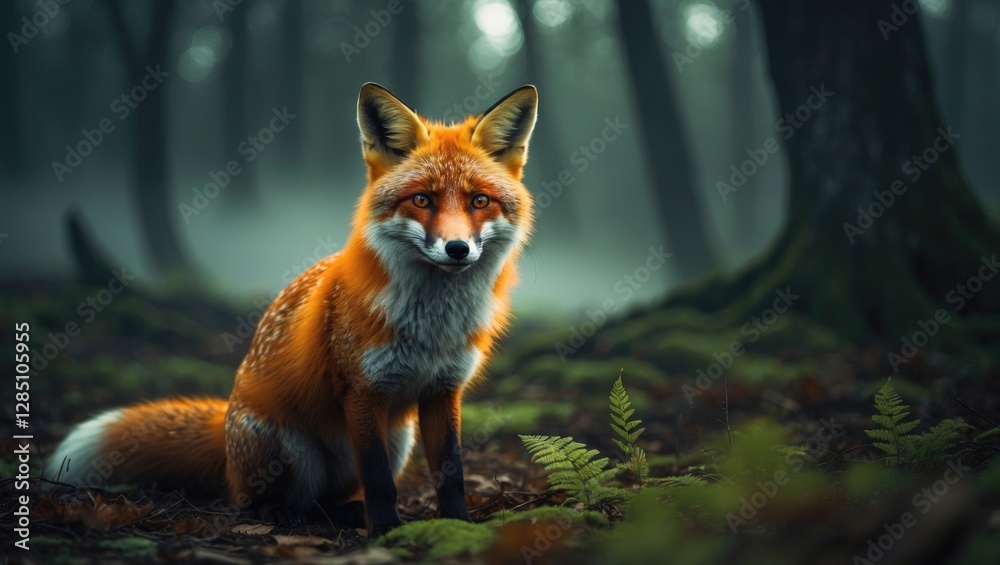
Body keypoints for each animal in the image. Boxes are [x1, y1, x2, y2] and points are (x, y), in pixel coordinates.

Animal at [44, 82, 538, 537]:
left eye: (479, 201)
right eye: (422, 199)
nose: (457, 249)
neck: (432, 324)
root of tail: (227, 424)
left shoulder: (442, 390)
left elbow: (451, 471)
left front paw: (457, 527)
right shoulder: (361, 390)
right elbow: (379, 480)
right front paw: (385, 532)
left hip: (399, 437)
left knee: (324, 500)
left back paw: (344, 512)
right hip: (284, 446)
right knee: (257, 500)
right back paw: (278, 513)